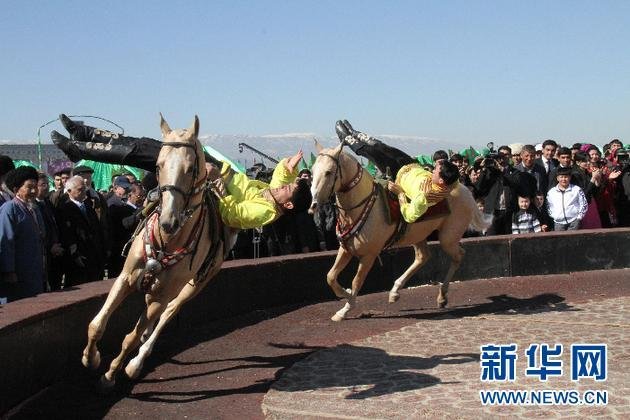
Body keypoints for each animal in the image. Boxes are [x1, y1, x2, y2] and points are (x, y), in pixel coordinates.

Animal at [80, 114, 226, 388]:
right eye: (158, 166)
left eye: (190, 168)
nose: (169, 220)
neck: (169, 239)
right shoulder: (126, 277)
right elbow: (96, 324)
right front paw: (91, 358)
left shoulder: (162, 294)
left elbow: (129, 338)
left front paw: (110, 374)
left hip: (194, 285)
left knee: (168, 314)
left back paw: (136, 362)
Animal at [312, 144, 494, 322]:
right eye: (313, 171)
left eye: (329, 172)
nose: (314, 203)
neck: (364, 206)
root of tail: (466, 191)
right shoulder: (346, 249)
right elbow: (330, 276)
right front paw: (346, 294)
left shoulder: (369, 255)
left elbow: (356, 281)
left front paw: (346, 307)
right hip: (419, 234)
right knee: (423, 257)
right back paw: (395, 291)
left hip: (447, 238)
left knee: (458, 256)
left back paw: (442, 296)